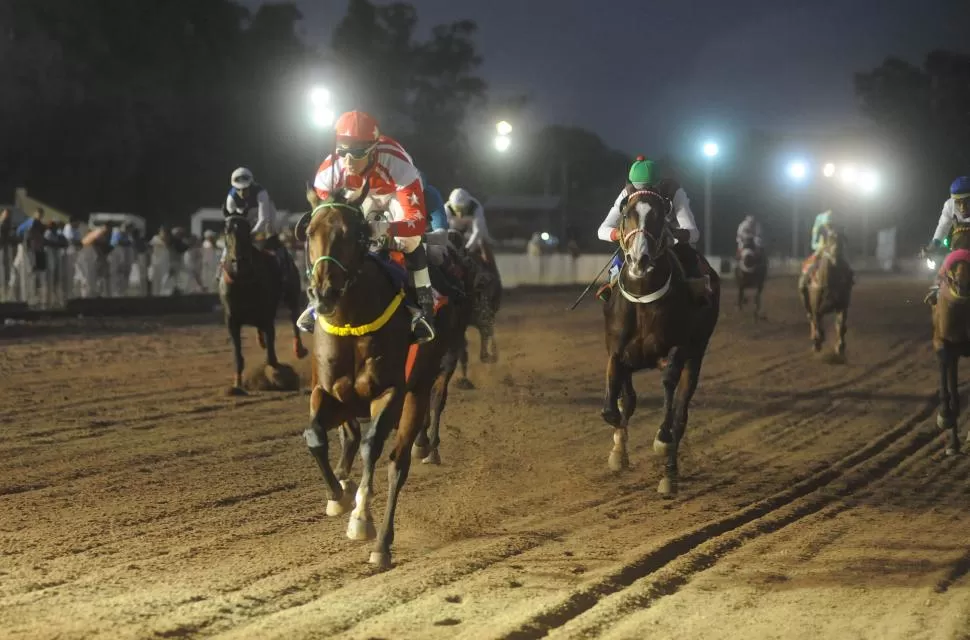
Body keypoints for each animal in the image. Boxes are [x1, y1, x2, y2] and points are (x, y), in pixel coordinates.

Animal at [218, 215, 306, 392]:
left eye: (246, 229)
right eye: (226, 230)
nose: (239, 260)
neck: (243, 281)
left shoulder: (267, 317)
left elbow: (272, 358)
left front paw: (278, 378)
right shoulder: (231, 320)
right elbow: (238, 356)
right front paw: (237, 385)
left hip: (292, 294)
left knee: (294, 317)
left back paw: (299, 349)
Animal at [596, 188, 720, 498]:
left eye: (659, 216)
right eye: (626, 213)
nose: (639, 260)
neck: (642, 300)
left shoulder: (677, 349)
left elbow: (668, 392)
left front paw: (661, 441)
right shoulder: (617, 352)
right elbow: (616, 407)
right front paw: (618, 453)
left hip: (696, 356)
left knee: (680, 414)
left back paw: (669, 475)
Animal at [796, 224, 852, 356]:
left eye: (842, 239)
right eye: (830, 238)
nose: (836, 254)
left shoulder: (842, 305)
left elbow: (841, 325)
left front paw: (840, 346)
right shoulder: (816, 307)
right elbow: (818, 324)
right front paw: (818, 342)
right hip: (806, 302)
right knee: (811, 318)